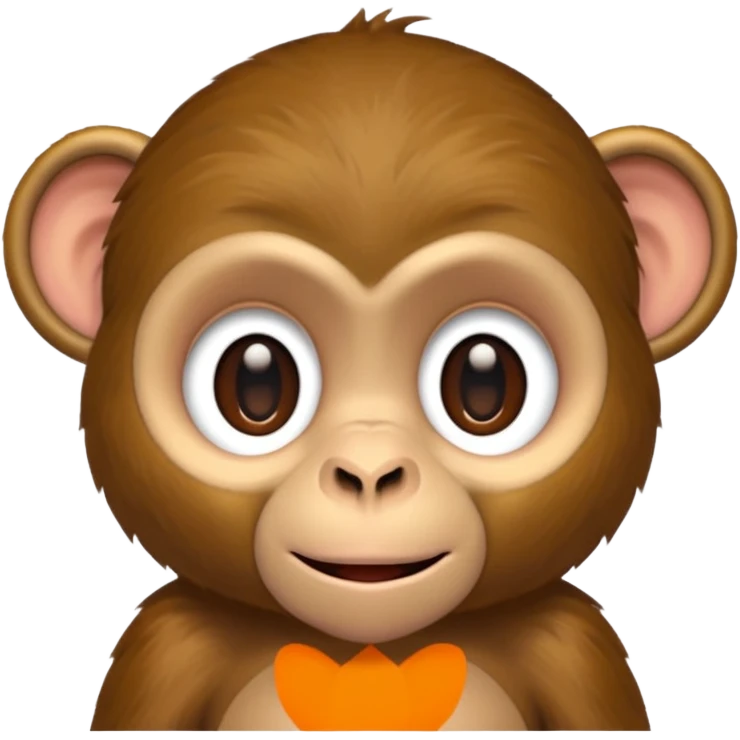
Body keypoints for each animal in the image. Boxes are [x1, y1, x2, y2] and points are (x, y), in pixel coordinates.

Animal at [2, 8, 736, 733]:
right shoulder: (166, 645)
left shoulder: (574, 644)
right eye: (255, 384)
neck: (370, 650)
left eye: (485, 383)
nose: (370, 472)